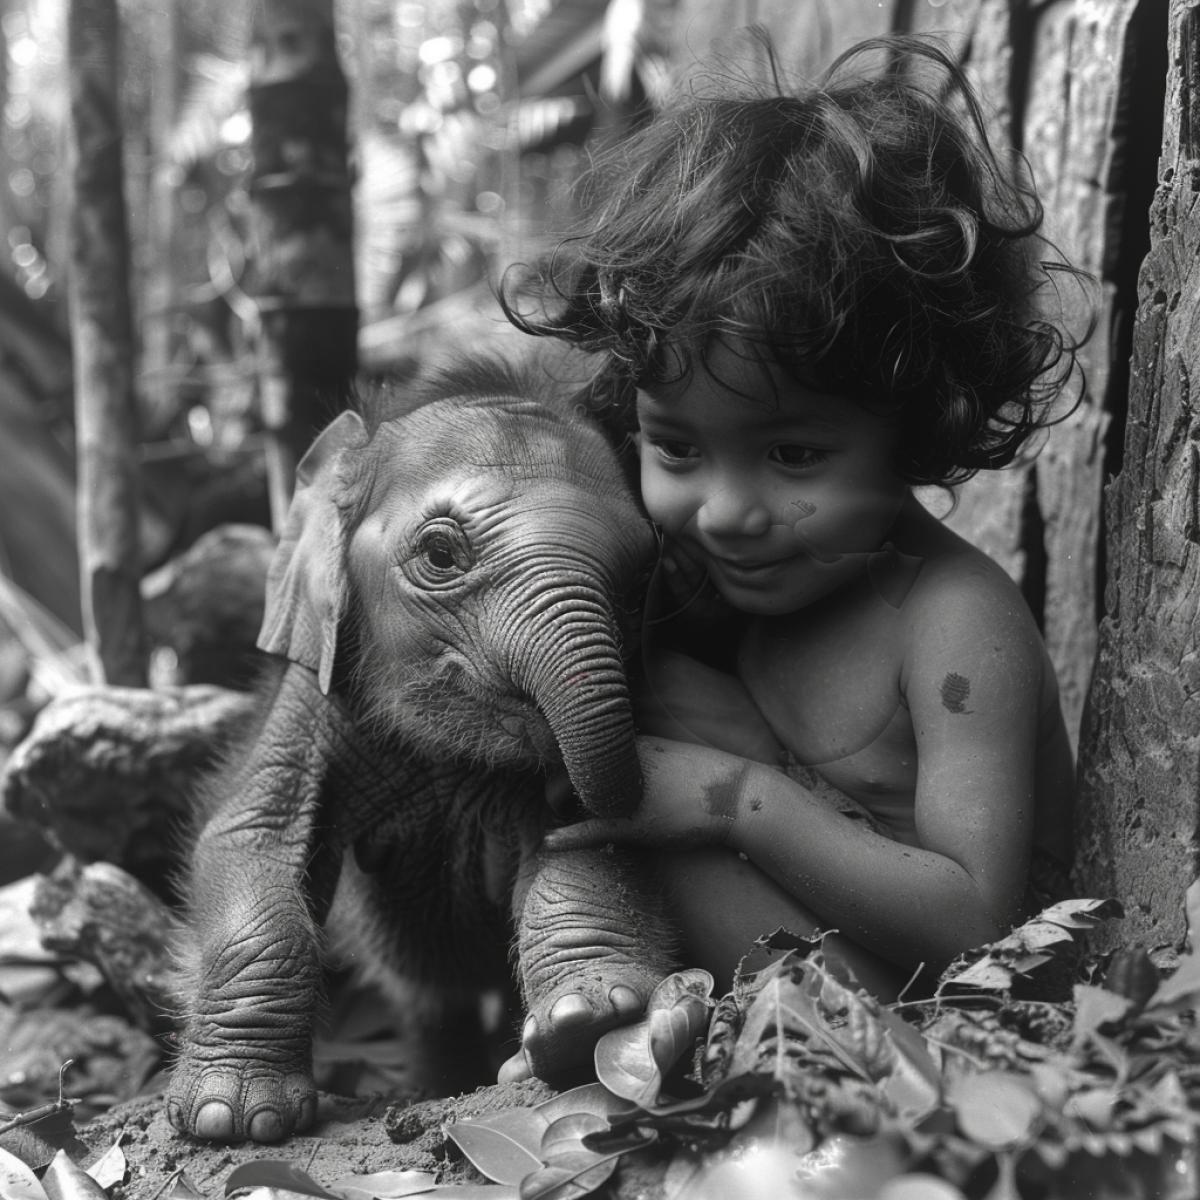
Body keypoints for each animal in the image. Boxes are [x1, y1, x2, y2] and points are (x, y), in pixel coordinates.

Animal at [165, 356, 679, 1143]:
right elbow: (248, 836)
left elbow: (592, 846)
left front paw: (587, 1025)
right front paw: (233, 1119)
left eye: (637, 581)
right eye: (440, 553)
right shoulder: (317, 695)